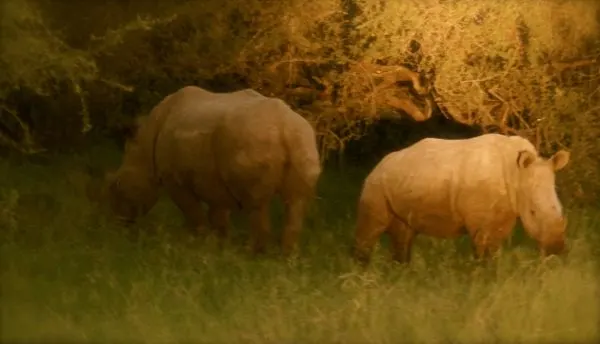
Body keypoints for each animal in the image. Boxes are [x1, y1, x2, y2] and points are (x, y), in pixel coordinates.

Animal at [96, 84, 324, 254]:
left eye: (117, 186)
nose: (119, 223)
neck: (144, 146)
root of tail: (284, 126)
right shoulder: (214, 177)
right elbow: (218, 212)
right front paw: (219, 245)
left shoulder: (174, 179)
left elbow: (193, 212)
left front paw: (196, 241)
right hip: (303, 139)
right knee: (296, 202)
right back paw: (287, 258)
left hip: (253, 139)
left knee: (256, 203)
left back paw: (251, 254)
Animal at [352, 132, 572, 264]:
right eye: (533, 212)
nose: (556, 250)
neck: (517, 173)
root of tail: (378, 165)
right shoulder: (480, 220)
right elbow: (482, 247)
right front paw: (482, 274)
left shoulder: (506, 212)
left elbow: (495, 248)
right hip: (375, 184)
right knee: (371, 229)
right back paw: (363, 273)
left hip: (402, 180)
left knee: (404, 233)